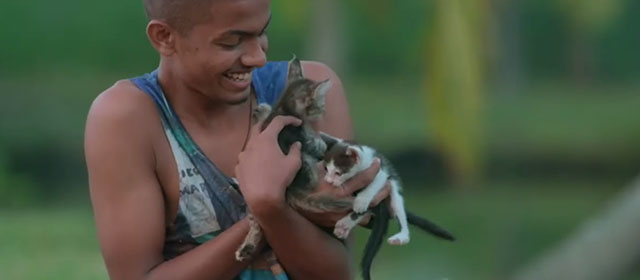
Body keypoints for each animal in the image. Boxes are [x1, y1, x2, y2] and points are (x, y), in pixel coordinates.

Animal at [236, 57, 352, 262]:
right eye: (319, 104)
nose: (323, 111)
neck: (284, 108)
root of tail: (290, 190)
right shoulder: (303, 136)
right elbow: (318, 143)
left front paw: (263, 111)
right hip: (304, 164)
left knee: (255, 222)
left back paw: (246, 248)